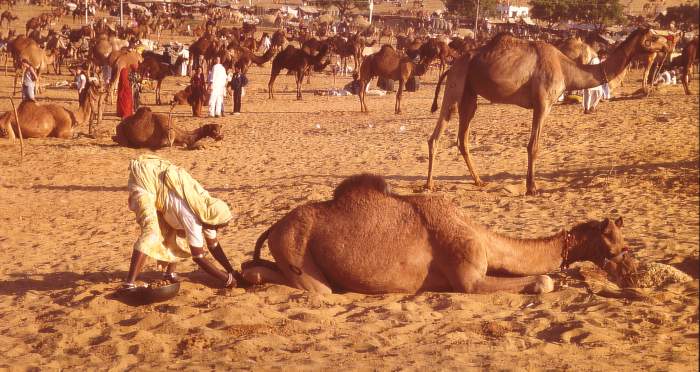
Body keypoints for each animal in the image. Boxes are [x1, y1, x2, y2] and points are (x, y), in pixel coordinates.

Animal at [242, 173, 628, 294]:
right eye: (619, 247)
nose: (633, 273)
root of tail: (274, 226)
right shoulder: (468, 278)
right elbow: (543, 280)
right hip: (295, 248)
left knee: (256, 270)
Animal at [424, 28, 668, 196]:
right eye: (654, 35)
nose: (667, 45)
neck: (567, 69)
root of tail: (452, 66)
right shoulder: (543, 103)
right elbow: (534, 146)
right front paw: (532, 187)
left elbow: (533, 145)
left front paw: (530, 185)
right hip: (456, 84)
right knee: (436, 134)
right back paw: (429, 184)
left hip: (470, 94)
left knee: (462, 138)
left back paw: (479, 181)